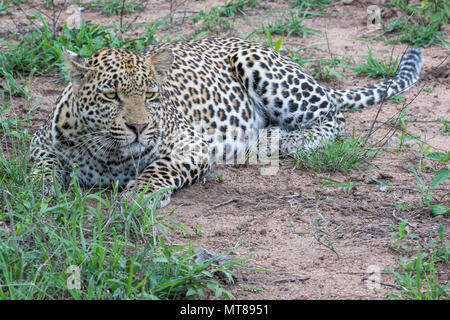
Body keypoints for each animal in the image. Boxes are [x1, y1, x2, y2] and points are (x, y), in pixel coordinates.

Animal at [29, 37, 424, 208]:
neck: (108, 154)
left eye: (151, 95)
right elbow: (40, 166)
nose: (138, 128)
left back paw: (280, 140)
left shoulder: (190, 145)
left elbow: (157, 170)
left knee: (333, 115)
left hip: (264, 71)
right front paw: (43, 189)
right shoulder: (41, 141)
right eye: (111, 96)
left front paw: (138, 195)